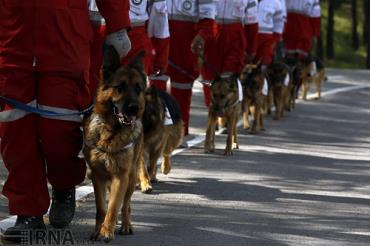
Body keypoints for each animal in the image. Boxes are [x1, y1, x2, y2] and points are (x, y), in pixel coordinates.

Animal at [83, 48, 146, 242]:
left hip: (131, 178)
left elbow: (112, 208)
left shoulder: (120, 177)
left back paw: (126, 225)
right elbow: (101, 208)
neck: (111, 132)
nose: (134, 108)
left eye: (138, 88)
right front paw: (98, 230)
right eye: (120, 87)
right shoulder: (97, 176)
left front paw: (106, 231)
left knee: (126, 205)